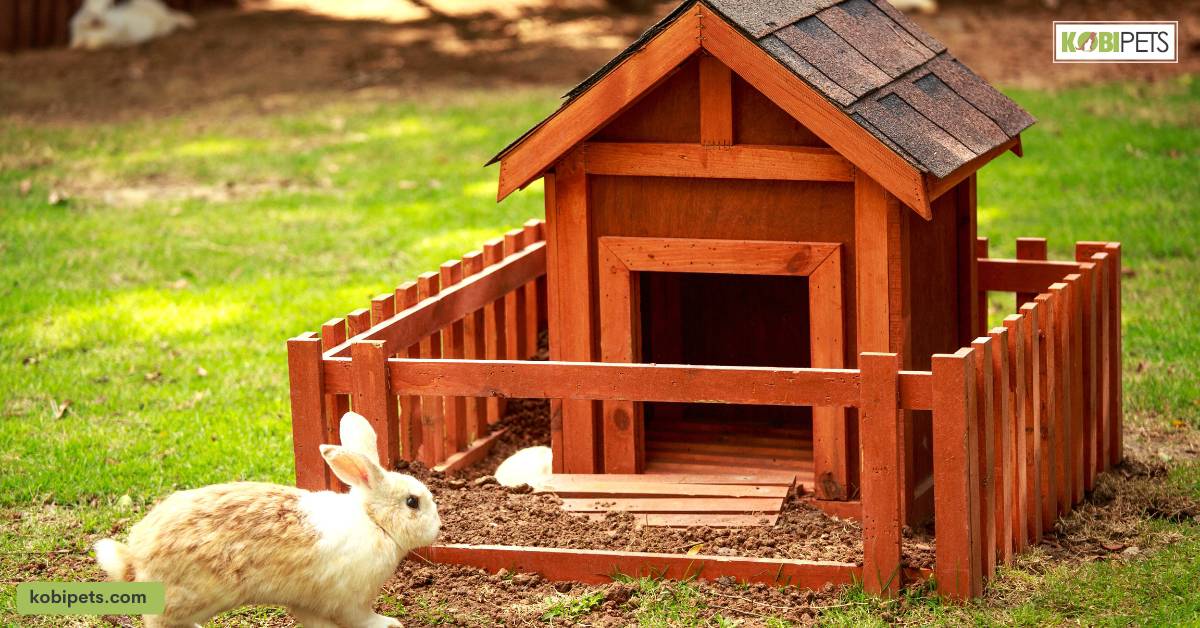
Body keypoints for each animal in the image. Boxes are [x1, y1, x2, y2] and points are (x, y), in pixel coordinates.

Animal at [93, 412, 439, 628]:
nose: (438, 528)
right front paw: (391, 623)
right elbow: (362, 619)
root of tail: (135, 560)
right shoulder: (351, 600)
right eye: (412, 502)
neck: (374, 522)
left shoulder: (308, 602)